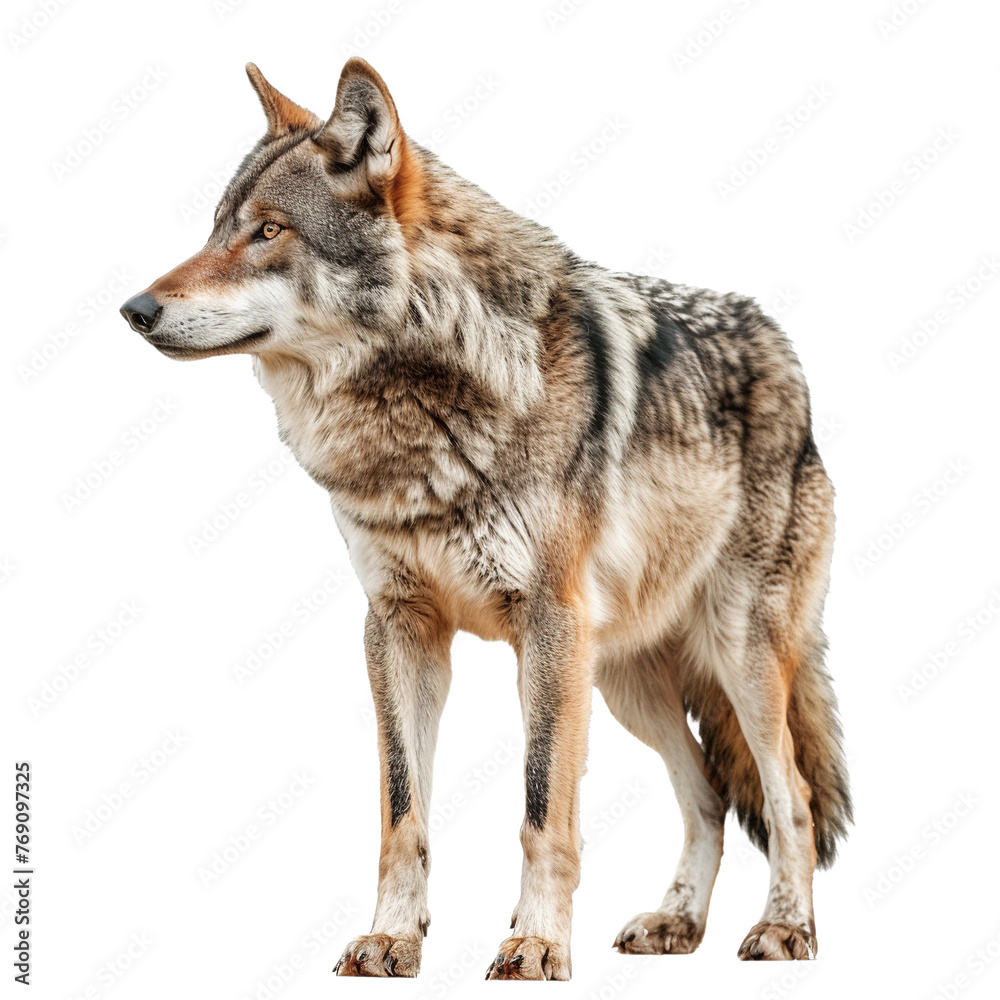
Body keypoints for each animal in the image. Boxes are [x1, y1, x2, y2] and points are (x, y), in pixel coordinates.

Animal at [120, 59, 851, 979]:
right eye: (216, 228)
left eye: (269, 231)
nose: (135, 309)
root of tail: (785, 352)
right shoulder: (399, 626)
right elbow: (402, 812)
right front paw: (393, 938)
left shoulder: (544, 626)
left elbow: (543, 812)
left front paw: (535, 942)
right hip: (622, 683)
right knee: (709, 793)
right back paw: (676, 923)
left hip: (733, 656)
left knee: (790, 796)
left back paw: (787, 929)